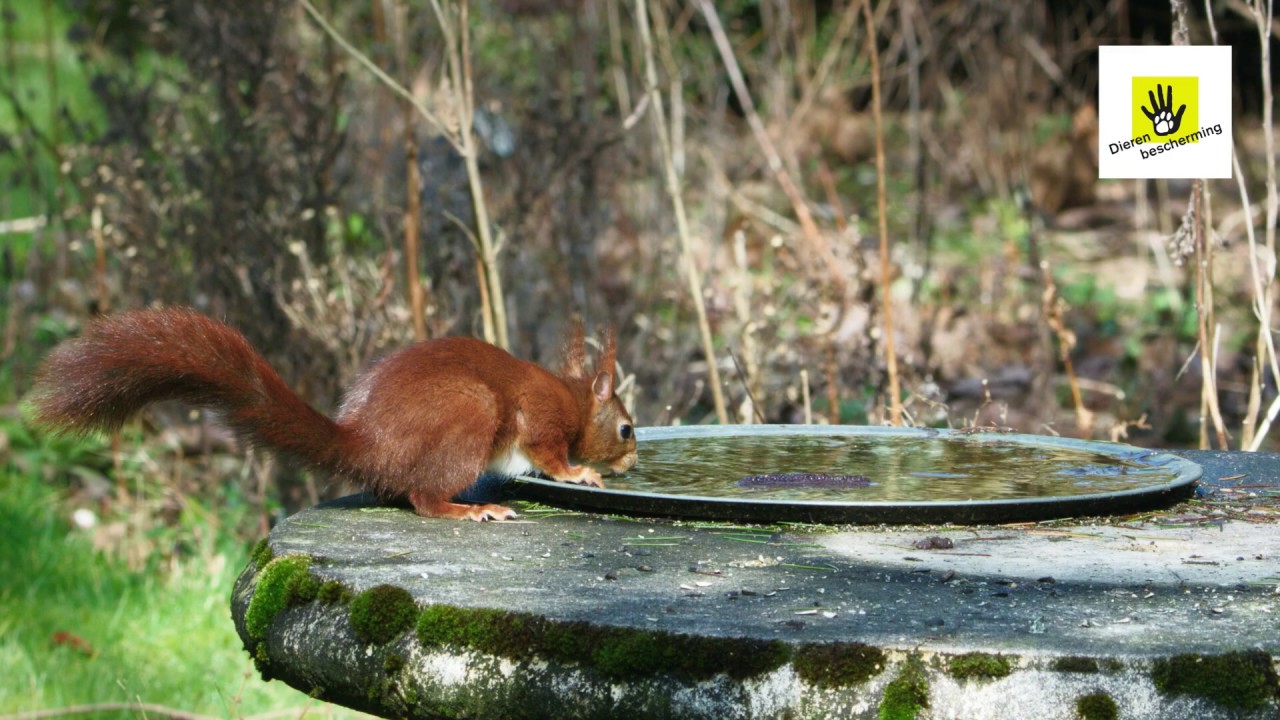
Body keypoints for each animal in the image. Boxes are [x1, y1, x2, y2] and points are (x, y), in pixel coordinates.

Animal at [32, 304, 640, 517]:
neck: (574, 397)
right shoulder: (541, 420)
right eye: (628, 429)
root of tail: (368, 443)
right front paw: (582, 473)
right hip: (471, 415)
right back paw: (470, 510)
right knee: (423, 500)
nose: (635, 463)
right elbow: (548, 455)